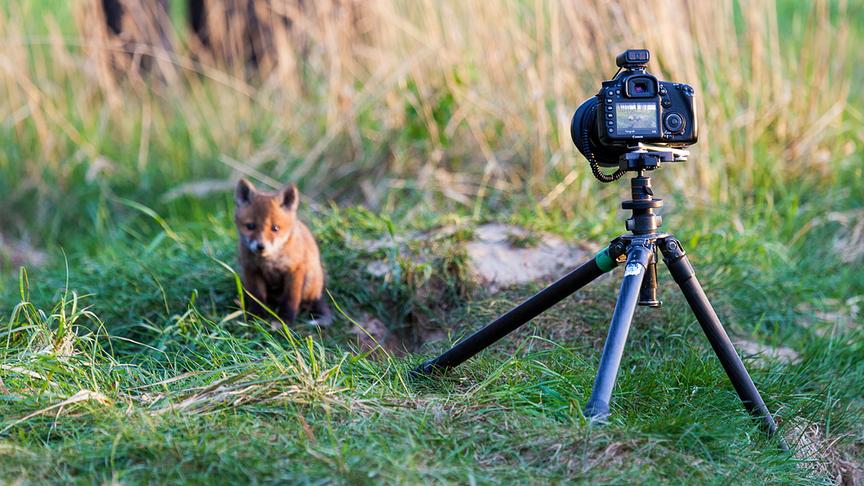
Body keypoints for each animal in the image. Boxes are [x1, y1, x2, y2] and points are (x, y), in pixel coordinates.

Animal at [234, 178, 331, 328]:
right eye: (250, 226)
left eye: (275, 228)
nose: (261, 246)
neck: (269, 262)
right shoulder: (251, 270)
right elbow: (257, 298)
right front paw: (257, 317)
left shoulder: (295, 270)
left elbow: (290, 299)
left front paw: (285, 320)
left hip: (310, 282)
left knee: (306, 303)